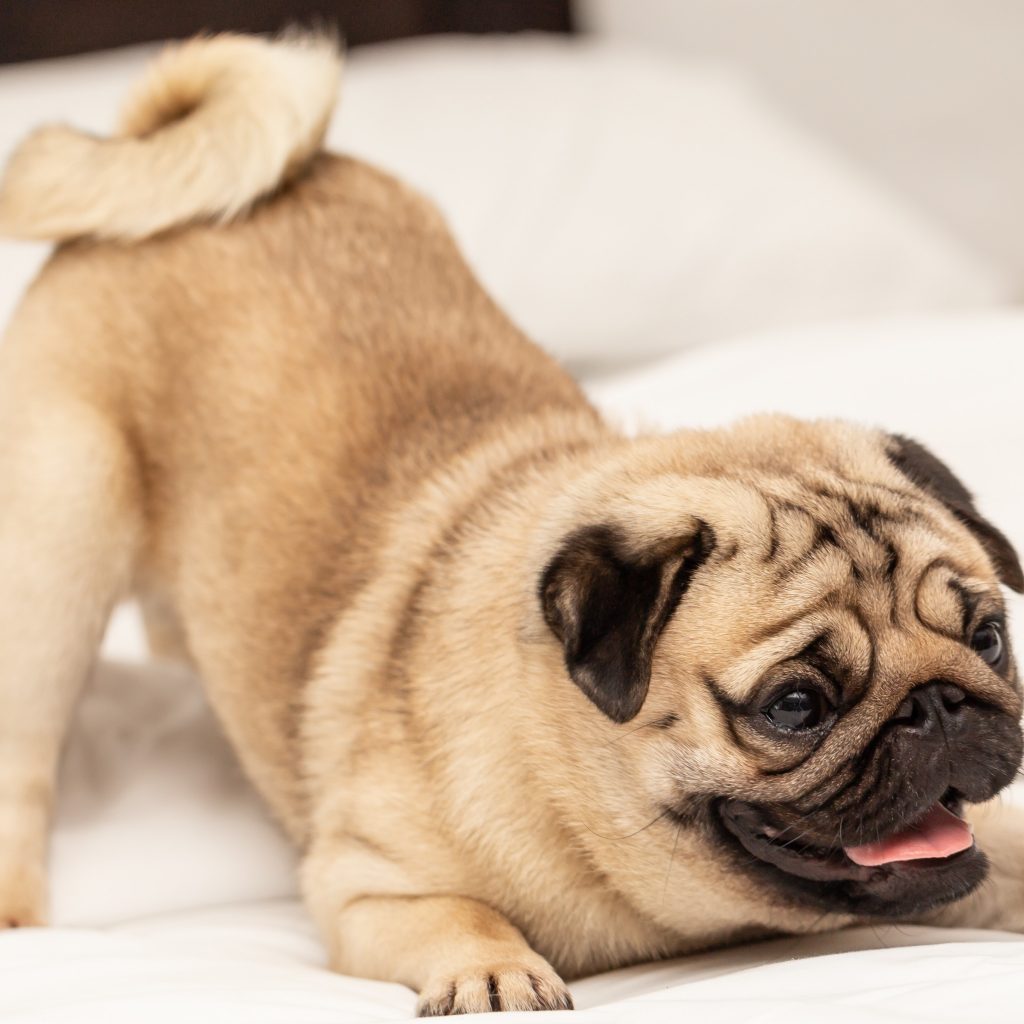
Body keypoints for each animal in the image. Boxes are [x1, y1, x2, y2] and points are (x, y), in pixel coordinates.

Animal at [2, 34, 1024, 1015]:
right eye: (795, 707)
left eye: (990, 639)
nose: (940, 705)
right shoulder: (368, 886)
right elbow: (459, 912)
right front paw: (494, 971)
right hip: (54, 569)